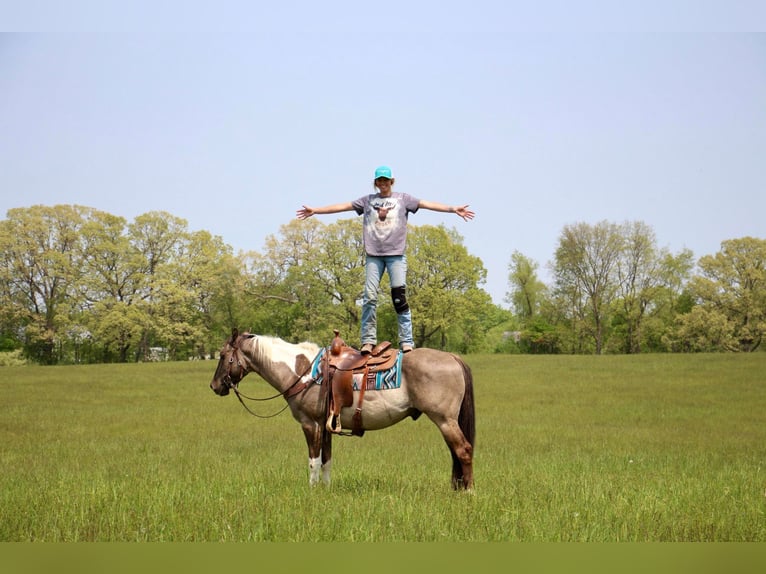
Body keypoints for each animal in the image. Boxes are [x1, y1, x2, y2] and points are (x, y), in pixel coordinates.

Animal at [207, 328, 476, 490]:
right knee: (455, 453)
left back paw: (468, 492)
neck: (303, 371)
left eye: (222, 355)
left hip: (445, 420)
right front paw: (326, 490)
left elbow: (313, 460)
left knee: (463, 451)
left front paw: (312, 491)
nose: (214, 386)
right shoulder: (326, 426)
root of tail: (452, 357)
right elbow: (327, 460)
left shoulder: (311, 424)